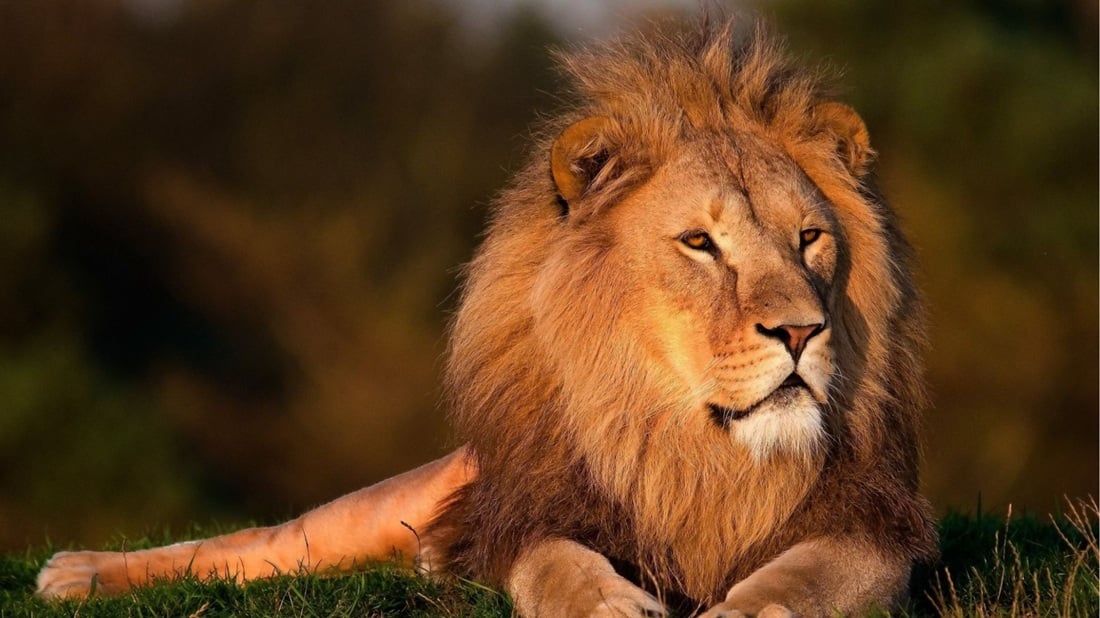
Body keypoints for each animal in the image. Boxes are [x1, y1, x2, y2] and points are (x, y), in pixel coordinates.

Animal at [36, 18, 937, 617]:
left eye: (810, 238)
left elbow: (806, 576)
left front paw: (747, 606)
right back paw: (75, 572)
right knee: (255, 546)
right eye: (700, 244)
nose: (801, 332)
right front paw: (605, 604)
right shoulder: (525, 514)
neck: (693, 450)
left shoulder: (874, 527)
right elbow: (555, 562)